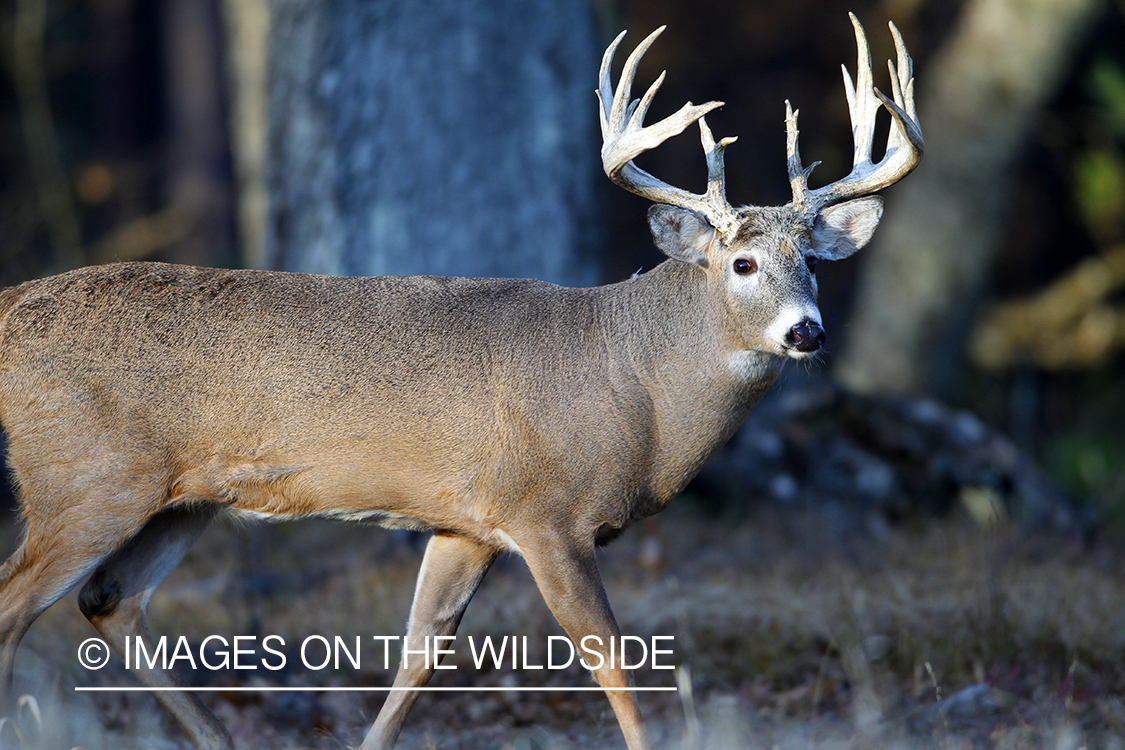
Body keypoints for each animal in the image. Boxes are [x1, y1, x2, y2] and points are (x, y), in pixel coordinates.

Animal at [0, 13, 918, 750]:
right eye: (742, 263)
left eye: (814, 263)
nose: (806, 332)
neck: (633, 385)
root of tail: (9, 307)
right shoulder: (547, 514)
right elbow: (612, 664)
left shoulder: (463, 523)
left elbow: (421, 655)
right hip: (82, 475)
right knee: (16, 606)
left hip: (180, 497)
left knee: (109, 600)